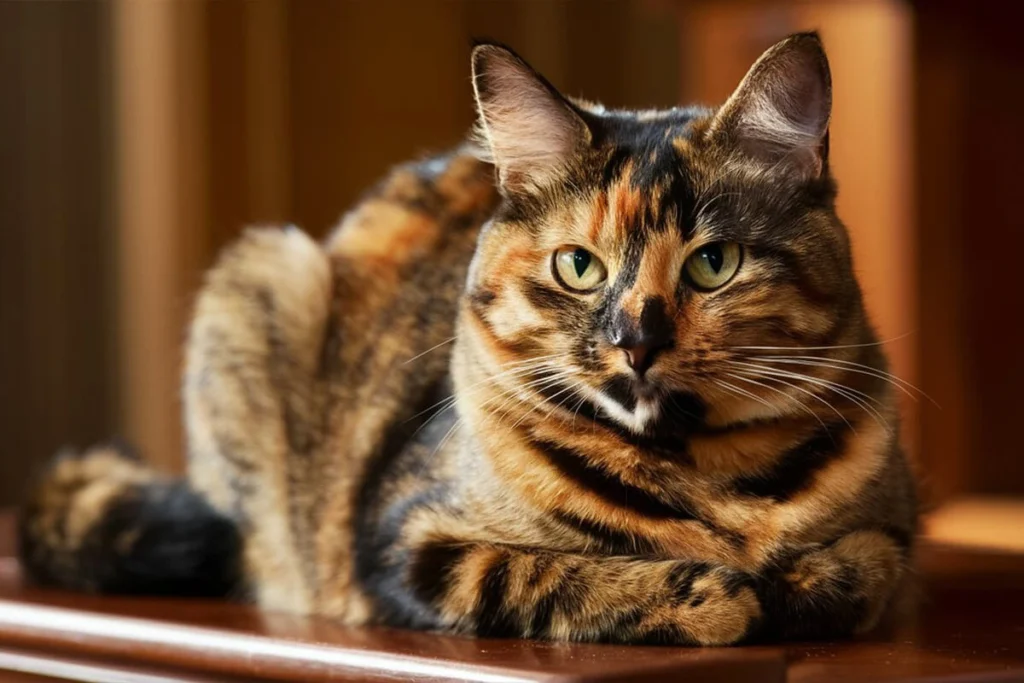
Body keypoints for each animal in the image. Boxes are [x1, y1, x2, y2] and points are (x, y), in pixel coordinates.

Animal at [16, 33, 917, 647]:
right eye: (578, 266)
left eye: (714, 263)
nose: (635, 339)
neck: (701, 473)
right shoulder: (408, 544)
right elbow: (543, 568)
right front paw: (716, 596)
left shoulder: (894, 532)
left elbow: (860, 562)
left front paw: (783, 580)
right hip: (259, 279)